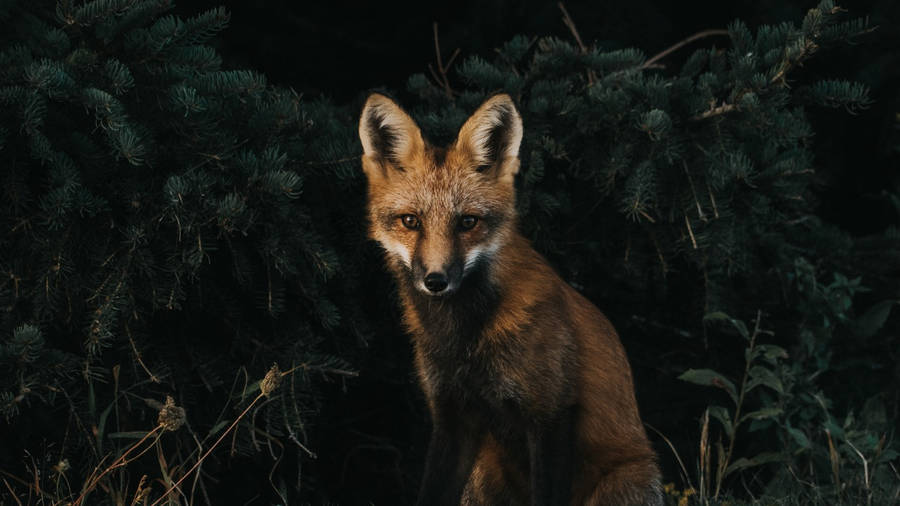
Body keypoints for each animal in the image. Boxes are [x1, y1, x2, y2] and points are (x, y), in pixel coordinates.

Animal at [358, 92, 662, 506]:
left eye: (467, 222)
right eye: (410, 222)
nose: (436, 281)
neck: (465, 338)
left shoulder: (551, 412)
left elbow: (548, 493)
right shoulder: (452, 415)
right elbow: (432, 491)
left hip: (628, 480)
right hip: (482, 472)